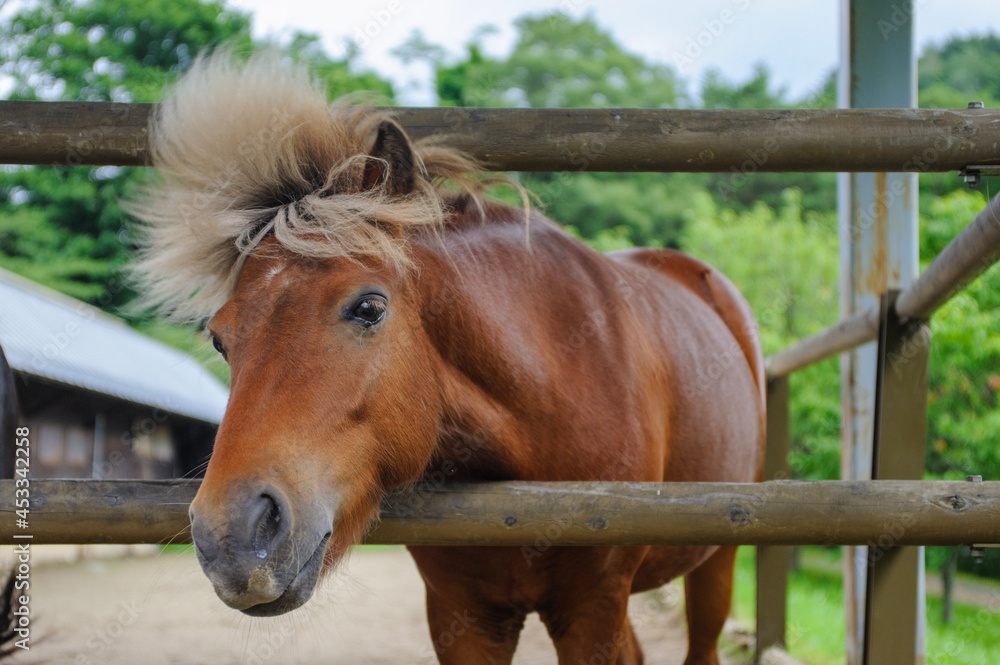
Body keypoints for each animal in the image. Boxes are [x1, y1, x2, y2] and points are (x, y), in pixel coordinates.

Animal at [130, 52, 765, 665]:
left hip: (716, 562)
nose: (232, 537)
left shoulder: (593, 609)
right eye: (220, 339)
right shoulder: (465, 617)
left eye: (369, 307)